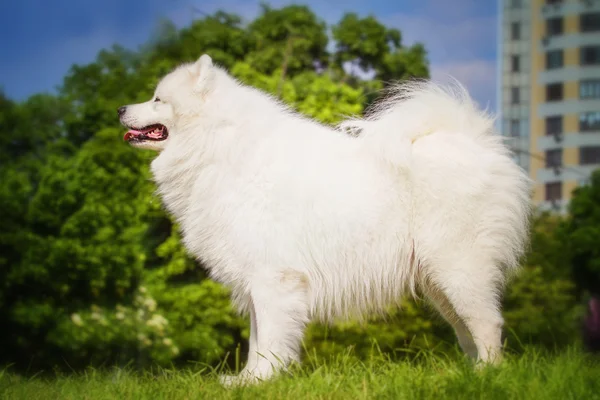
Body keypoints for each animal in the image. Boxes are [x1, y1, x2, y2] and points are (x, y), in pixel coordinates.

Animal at [119, 54, 532, 384]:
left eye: (157, 100)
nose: (121, 109)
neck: (217, 144)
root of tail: (476, 142)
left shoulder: (273, 279)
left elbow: (269, 338)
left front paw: (261, 380)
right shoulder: (256, 281)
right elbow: (256, 340)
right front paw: (247, 381)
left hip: (459, 268)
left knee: (488, 324)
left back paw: (489, 376)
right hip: (439, 282)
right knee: (467, 330)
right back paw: (470, 375)